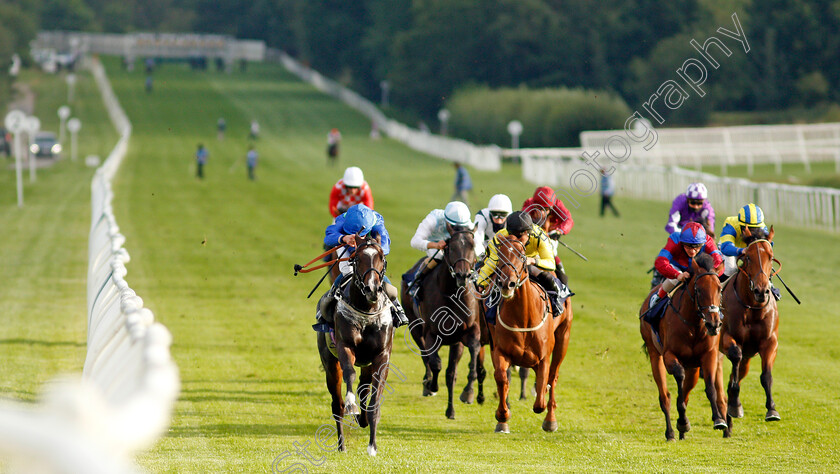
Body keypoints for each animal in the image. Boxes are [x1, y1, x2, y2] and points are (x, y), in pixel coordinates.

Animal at [316, 233, 396, 456]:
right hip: (329, 363)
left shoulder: (381, 356)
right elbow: (349, 375)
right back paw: (341, 445)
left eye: (381, 257)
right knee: (337, 405)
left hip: (367, 364)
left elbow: (374, 401)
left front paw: (372, 447)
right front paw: (353, 406)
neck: (367, 310)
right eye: (357, 258)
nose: (372, 288)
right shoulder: (345, 346)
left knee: (364, 387)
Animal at [402, 230, 482, 418]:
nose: (462, 275)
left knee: (450, 372)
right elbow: (435, 363)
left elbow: (468, 361)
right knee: (426, 357)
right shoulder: (431, 334)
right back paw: (427, 384)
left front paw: (468, 392)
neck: (451, 294)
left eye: (472, 246)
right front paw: (432, 386)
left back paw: (450, 409)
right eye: (450, 247)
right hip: (415, 328)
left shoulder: (467, 333)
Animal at [486, 233, 572, 434]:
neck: (523, 317)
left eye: (521, 255)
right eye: (499, 255)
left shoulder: (544, 357)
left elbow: (540, 398)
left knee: (553, 377)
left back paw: (550, 420)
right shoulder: (500, 350)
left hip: (563, 338)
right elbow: (502, 378)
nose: (506, 283)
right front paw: (502, 416)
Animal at [640, 254, 724, 442]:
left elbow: (709, 388)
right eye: (699, 290)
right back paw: (671, 432)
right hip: (655, 354)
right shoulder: (669, 355)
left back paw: (681, 430)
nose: (714, 324)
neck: (694, 324)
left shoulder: (709, 355)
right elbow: (678, 379)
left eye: (719, 289)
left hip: (693, 367)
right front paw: (683, 422)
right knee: (665, 396)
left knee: (686, 392)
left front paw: (718, 420)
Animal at [716, 224, 780, 436]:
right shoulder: (726, 339)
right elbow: (735, 355)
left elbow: (766, 376)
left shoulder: (770, 342)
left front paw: (772, 410)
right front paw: (735, 405)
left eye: (770, 256)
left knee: (737, 374)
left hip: (748, 358)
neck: (753, 307)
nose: (761, 290)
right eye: (748, 256)